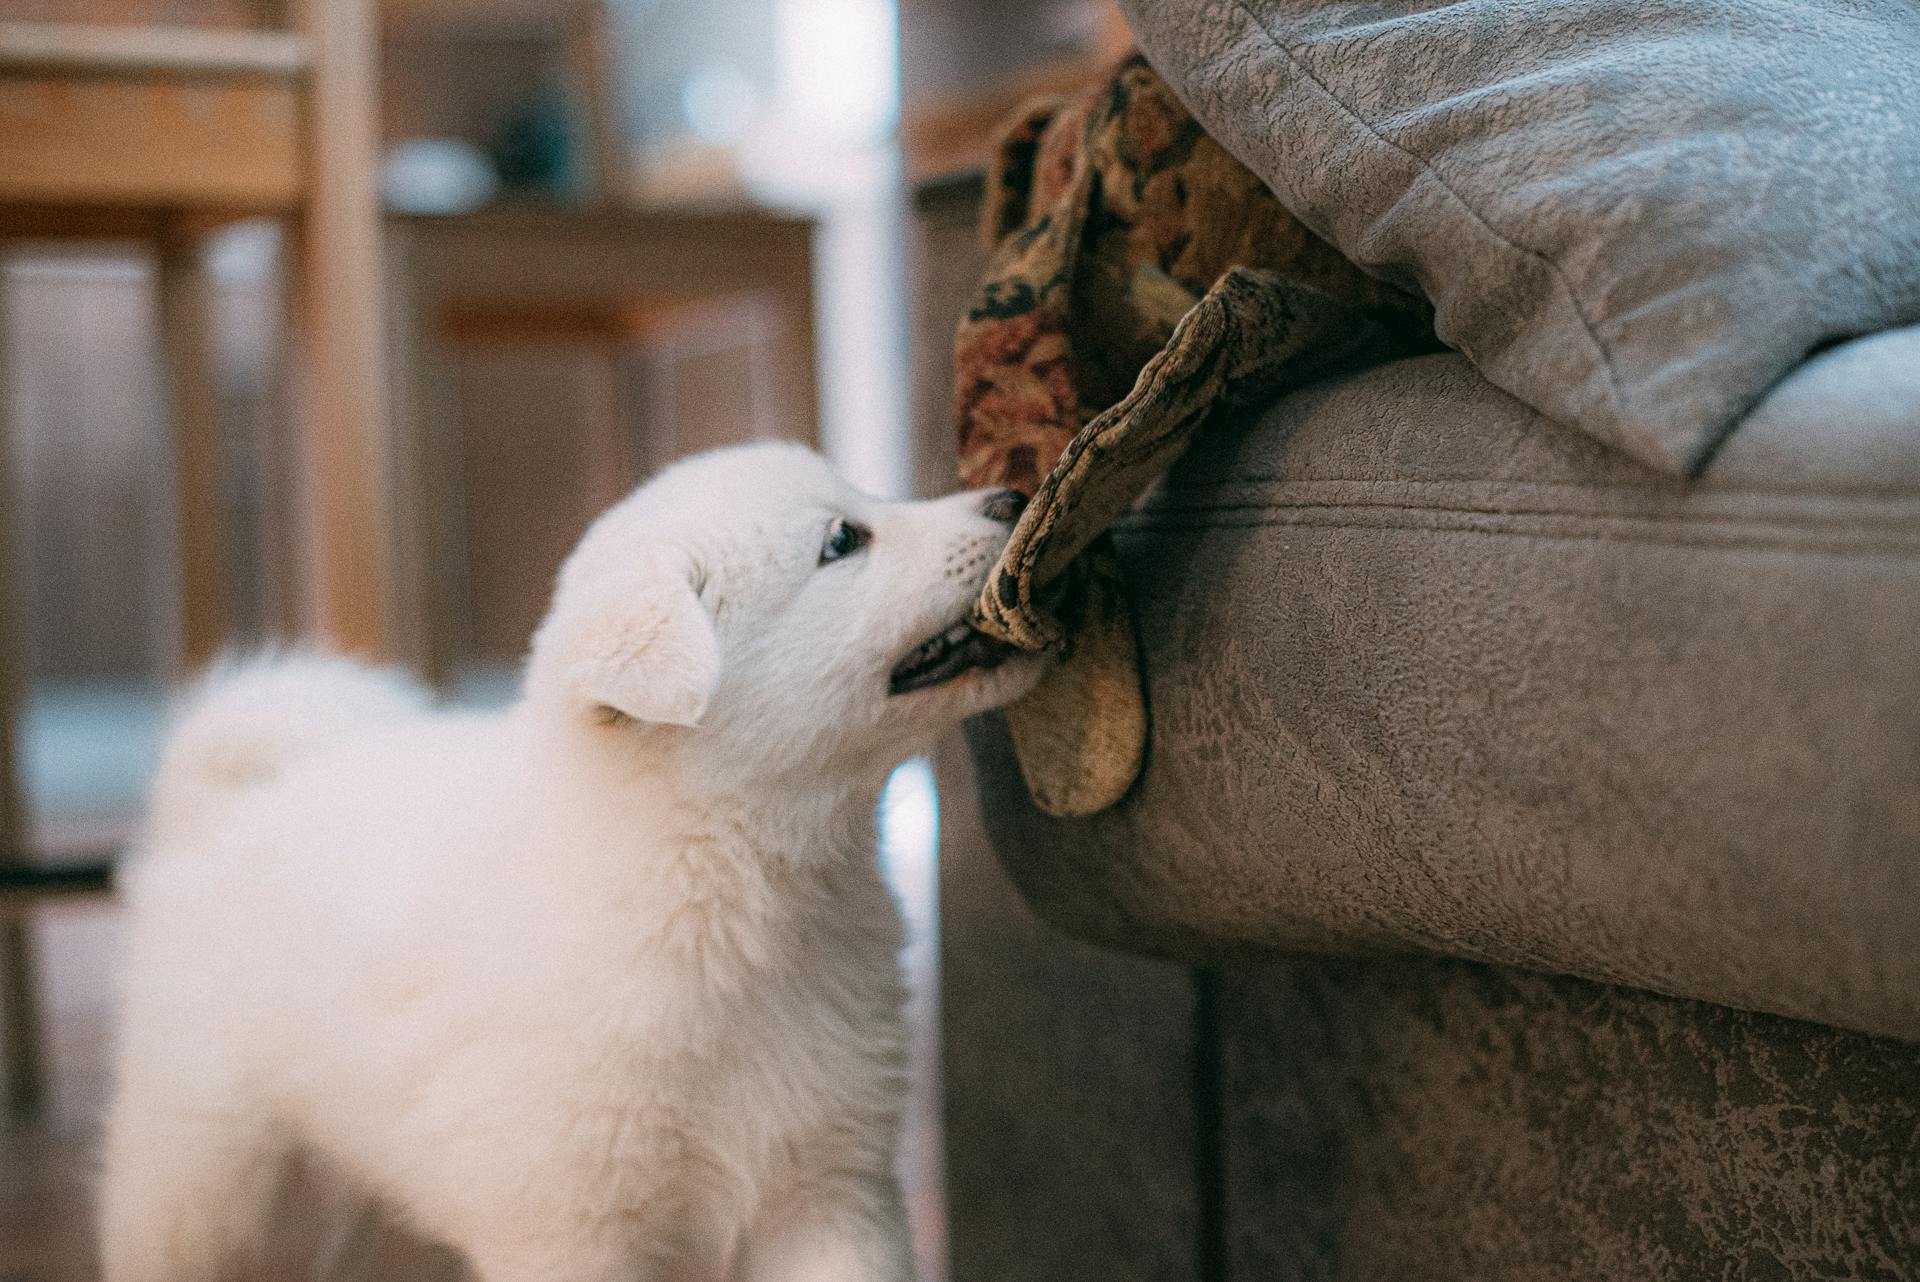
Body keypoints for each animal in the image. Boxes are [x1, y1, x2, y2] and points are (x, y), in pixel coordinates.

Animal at [97, 443, 1044, 1282]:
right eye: (843, 540)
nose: (1011, 496)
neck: (719, 885)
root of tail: (218, 810)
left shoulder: (828, 1193)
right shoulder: (571, 1227)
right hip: (207, 1182)